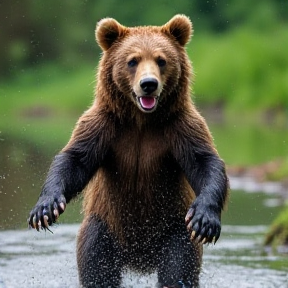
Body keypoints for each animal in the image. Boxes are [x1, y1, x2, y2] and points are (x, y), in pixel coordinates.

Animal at [28, 15, 228, 288]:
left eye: (161, 60)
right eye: (132, 60)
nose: (148, 84)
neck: (141, 120)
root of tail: (140, 261)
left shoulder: (180, 126)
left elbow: (204, 162)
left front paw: (205, 219)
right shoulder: (105, 125)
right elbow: (74, 160)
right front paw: (46, 207)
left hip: (174, 230)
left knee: (177, 270)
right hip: (104, 228)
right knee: (97, 267)